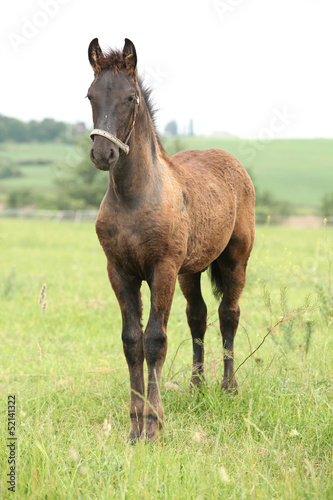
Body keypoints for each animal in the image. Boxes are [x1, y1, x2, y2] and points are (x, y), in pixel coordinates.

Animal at [87, 38, 254, 442]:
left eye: (131, 97)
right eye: (90, 96)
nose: (103, 153)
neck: (134, 197)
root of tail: (228, 156)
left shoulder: (161, 270)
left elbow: (154, 340)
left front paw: (153, 424)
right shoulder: (120, 272)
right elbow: (131, 340)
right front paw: (134, 423)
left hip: (235, 258)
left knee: (229, 314)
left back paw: (229, 388)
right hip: (189, 271)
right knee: (198, 316)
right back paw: (197, 387)